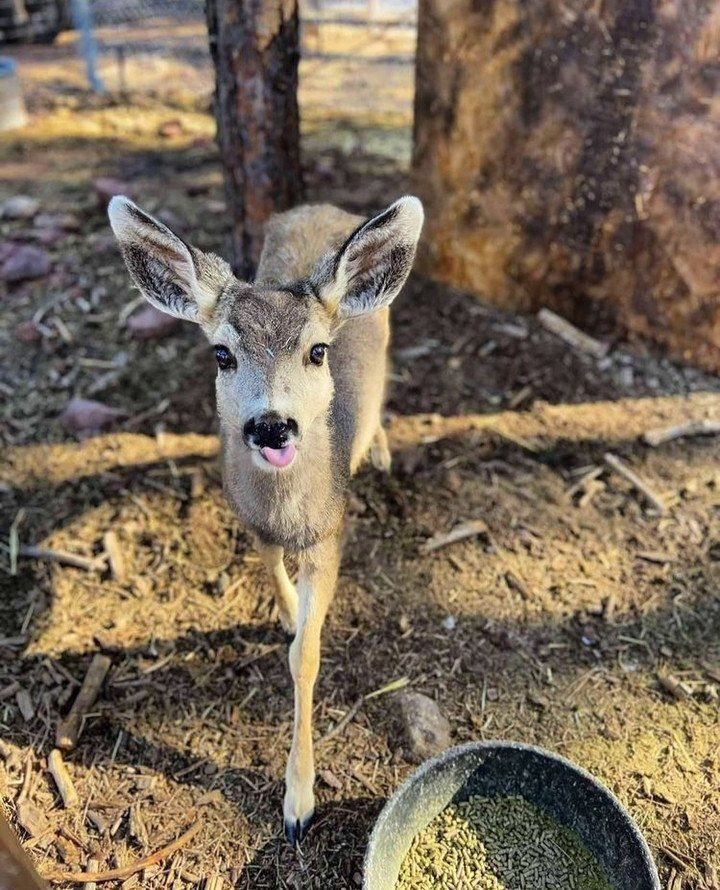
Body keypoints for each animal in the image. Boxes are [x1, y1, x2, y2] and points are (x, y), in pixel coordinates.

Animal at [108, 194, 424, 846]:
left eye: (317, 351)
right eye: (222, 353)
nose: (272, 426)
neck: (289, 510)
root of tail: (322, 205)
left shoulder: (330, 532)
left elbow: (306, 656)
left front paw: (298, 803)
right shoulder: (247, 514)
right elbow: (268, 562)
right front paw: (284, 609)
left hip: (382, 331)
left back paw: (379, 450)